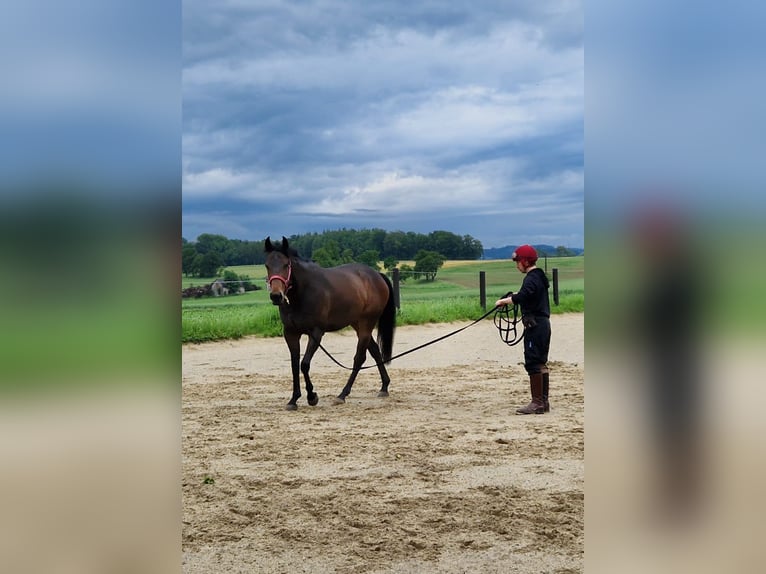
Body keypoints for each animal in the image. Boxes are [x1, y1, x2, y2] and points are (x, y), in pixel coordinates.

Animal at [266, 236, 400, 412]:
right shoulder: (290, 333)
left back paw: (342, 395)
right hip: (357, 324)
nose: (276, 296)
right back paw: (384, 386)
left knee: (359, 358)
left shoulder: (316, 332)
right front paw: (293, 399)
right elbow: (295, 365)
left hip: (366, 323)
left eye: (286, 265)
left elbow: (304, 364)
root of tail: (377, 275)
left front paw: (312, 397)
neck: (303, 293)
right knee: (375, 350)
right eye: (267, 265)